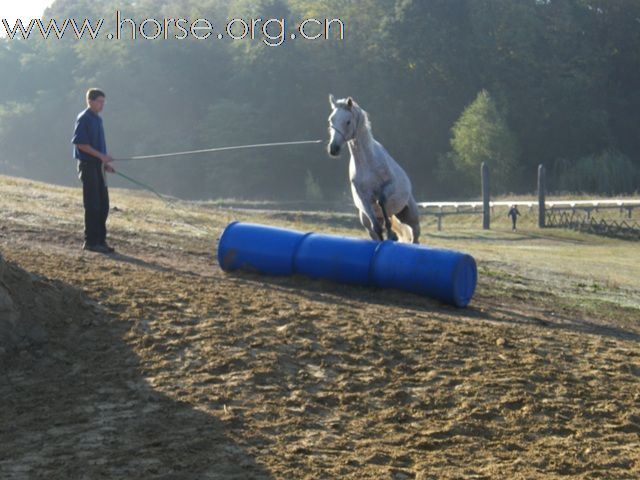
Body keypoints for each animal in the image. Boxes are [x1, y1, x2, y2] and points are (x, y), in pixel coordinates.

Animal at [328, 94, 422, 244]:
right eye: (331, 120)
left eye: (348, 122)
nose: (333, 149)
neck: (367, 163)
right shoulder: (364, 199)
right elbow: (377, 228)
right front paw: (390, 235)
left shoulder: (390, 186)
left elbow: (381, 199)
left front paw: (390, 233)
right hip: (366, 220)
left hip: (410, 216)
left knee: (415, 235)